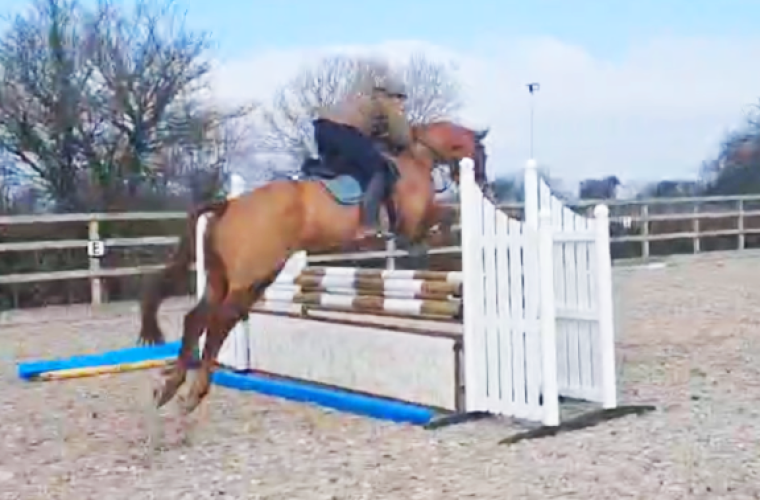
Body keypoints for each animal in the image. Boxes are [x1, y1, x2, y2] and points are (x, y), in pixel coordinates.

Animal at [137, 120, 488, 416]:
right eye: (482, 154)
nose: (484, 184)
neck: (416, 162)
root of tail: (229, 205)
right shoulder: (413, 221)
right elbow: (444, 218)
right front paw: (425, 246)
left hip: (229, 279)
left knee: (197, 318)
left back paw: (172, 387)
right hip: (248, 279)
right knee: (219, 322)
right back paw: (193, 393)